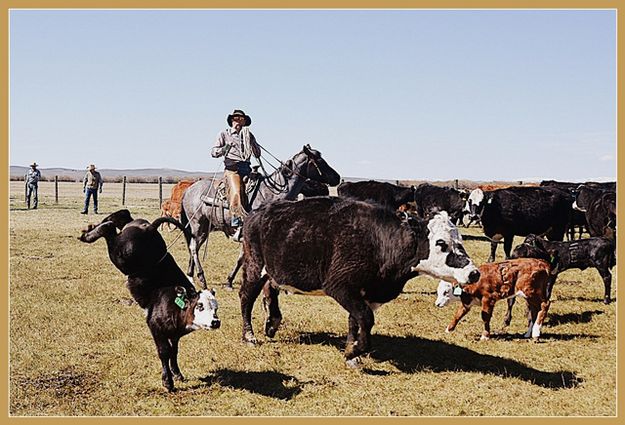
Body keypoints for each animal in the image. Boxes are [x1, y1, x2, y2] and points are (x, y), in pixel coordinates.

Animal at [178, 145, 344, 288]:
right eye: (320, 161)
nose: (337, 177)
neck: (272, 193)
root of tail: (188, 190)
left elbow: (241, 258)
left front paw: (230, 281)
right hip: (198, 225)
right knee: (193, 247)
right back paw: (201, 278)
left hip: (203, 228)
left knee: (194, 247)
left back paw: (191, 275)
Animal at [239, 195, 478, 364]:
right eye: (441, 243)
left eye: (460, 239)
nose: (474, 273)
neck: (381, 242)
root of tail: (257, 212)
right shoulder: (341, 287)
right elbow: (366, 319)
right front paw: (353, 351)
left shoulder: (365, 294)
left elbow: (355, 320)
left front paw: (351, 352)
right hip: (254, 267)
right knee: (246, 297)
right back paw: (249, 336)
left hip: (273, 270)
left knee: (271, 290)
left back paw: (272, 323)